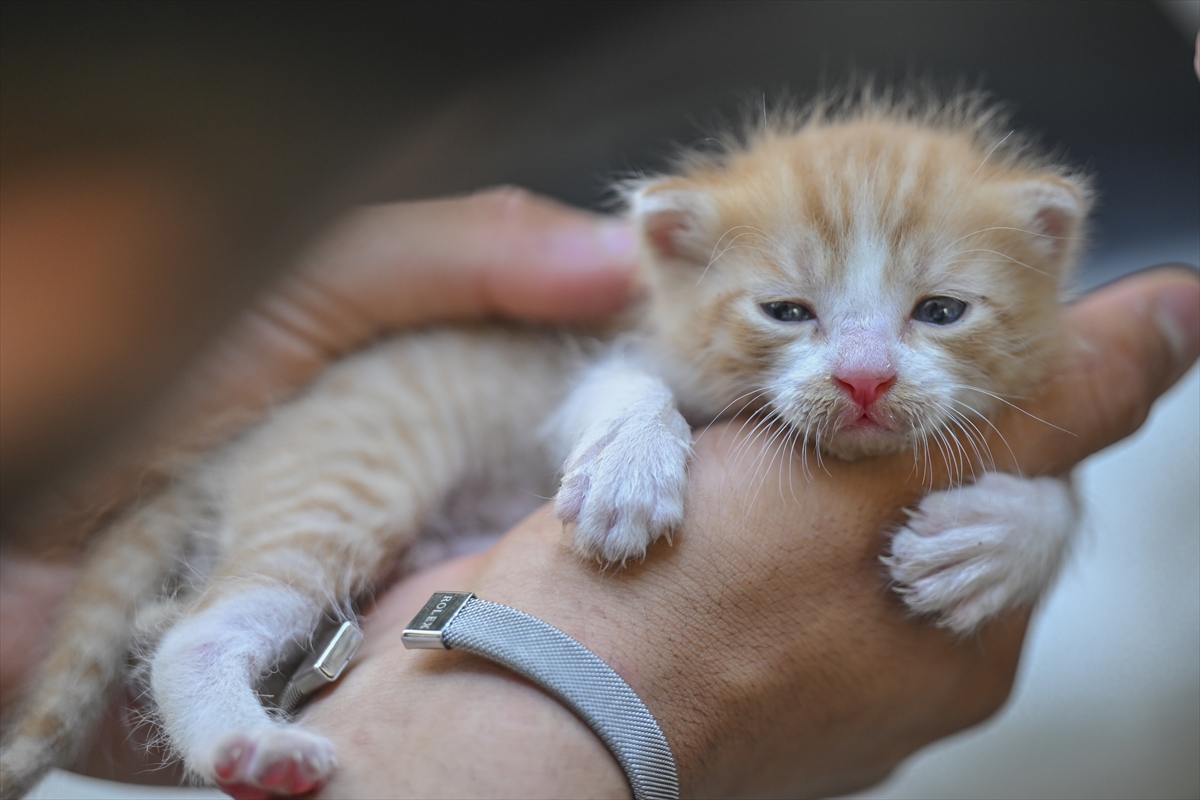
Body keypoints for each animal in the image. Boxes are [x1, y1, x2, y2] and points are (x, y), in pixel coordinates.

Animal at [0, 95, 1089, 800]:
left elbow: (1070, 492)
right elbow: (617, 388)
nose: (866, 379)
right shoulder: (601, 355)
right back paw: (248, 746)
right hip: (342, 480)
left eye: (940, 311)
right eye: (787, 311)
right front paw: (627, 470)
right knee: (193, 627)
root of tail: (237, 444)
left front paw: (998, 542)